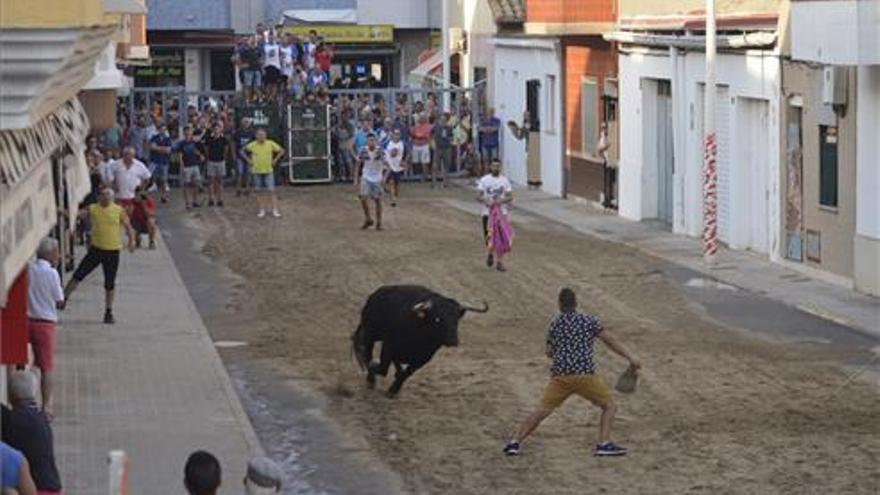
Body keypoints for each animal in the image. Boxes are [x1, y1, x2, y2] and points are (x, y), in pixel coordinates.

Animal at [350, 286, 488, 400]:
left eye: (456, 319)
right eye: (437, 319)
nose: (453, 341)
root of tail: (375, 295)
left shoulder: (424, 358)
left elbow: (406, 373)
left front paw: (393, 390)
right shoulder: (389, 346)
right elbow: (382, 368)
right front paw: (374, 372)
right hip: (370, 334)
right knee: (367, 353)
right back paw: (370, 380)